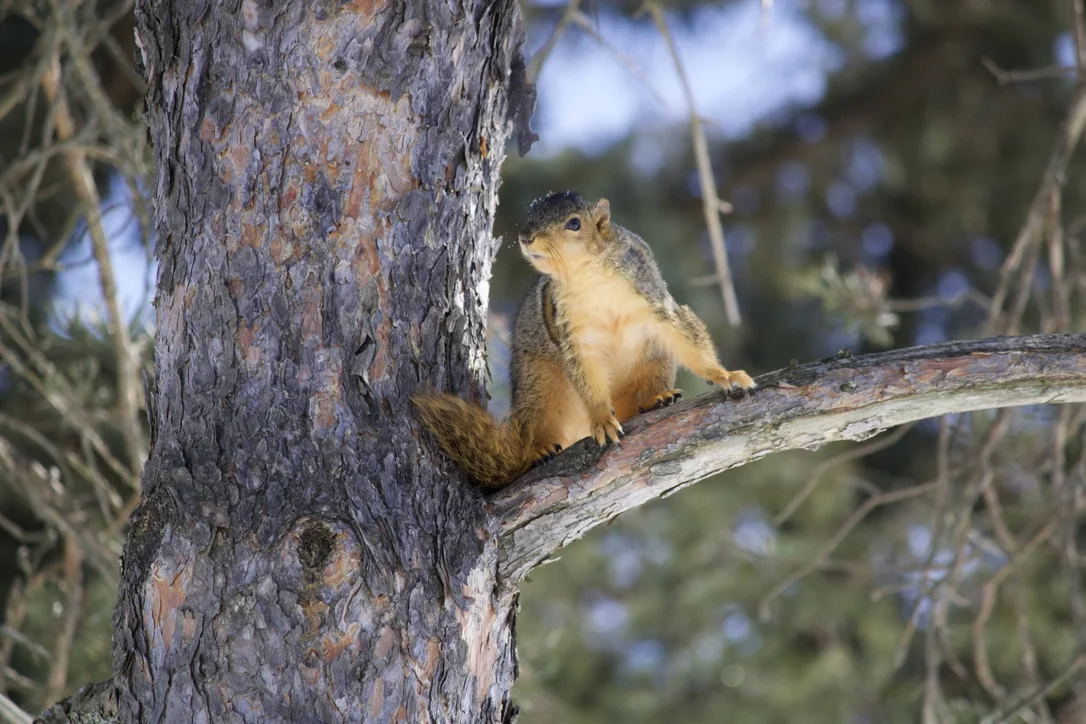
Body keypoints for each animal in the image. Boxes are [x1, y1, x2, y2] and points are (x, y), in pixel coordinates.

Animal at [411, 191, 756, 489]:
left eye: (574, 223)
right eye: (531, 214)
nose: (526, 236)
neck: (588, 275)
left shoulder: (655, 302)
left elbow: (687, 338)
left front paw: (725, 375)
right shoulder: (573, 332)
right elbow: (588, 377)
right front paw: (602, 419)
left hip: (653, 360)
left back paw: (656, 399)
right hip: (540, 385)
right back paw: (539, 449)